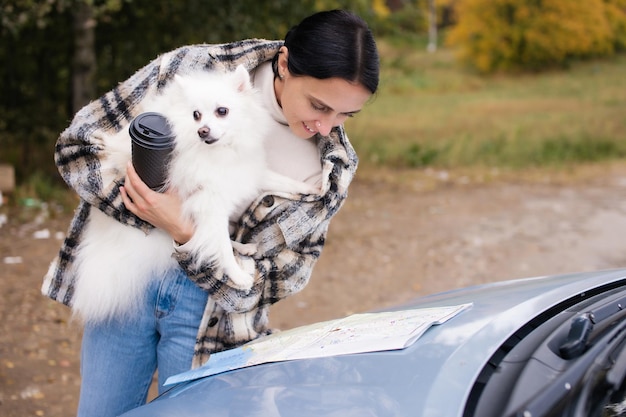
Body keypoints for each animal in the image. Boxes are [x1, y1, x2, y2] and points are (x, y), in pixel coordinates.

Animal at [70, 64, 316, 322]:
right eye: (196, 115)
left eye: (222, 111)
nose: (202, 130)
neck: (221, 152)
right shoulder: (210, 204)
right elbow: (221, 246)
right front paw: (236, 276)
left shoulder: (247, 173)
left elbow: (282, 181)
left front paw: (311, 188)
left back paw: (243, 247)